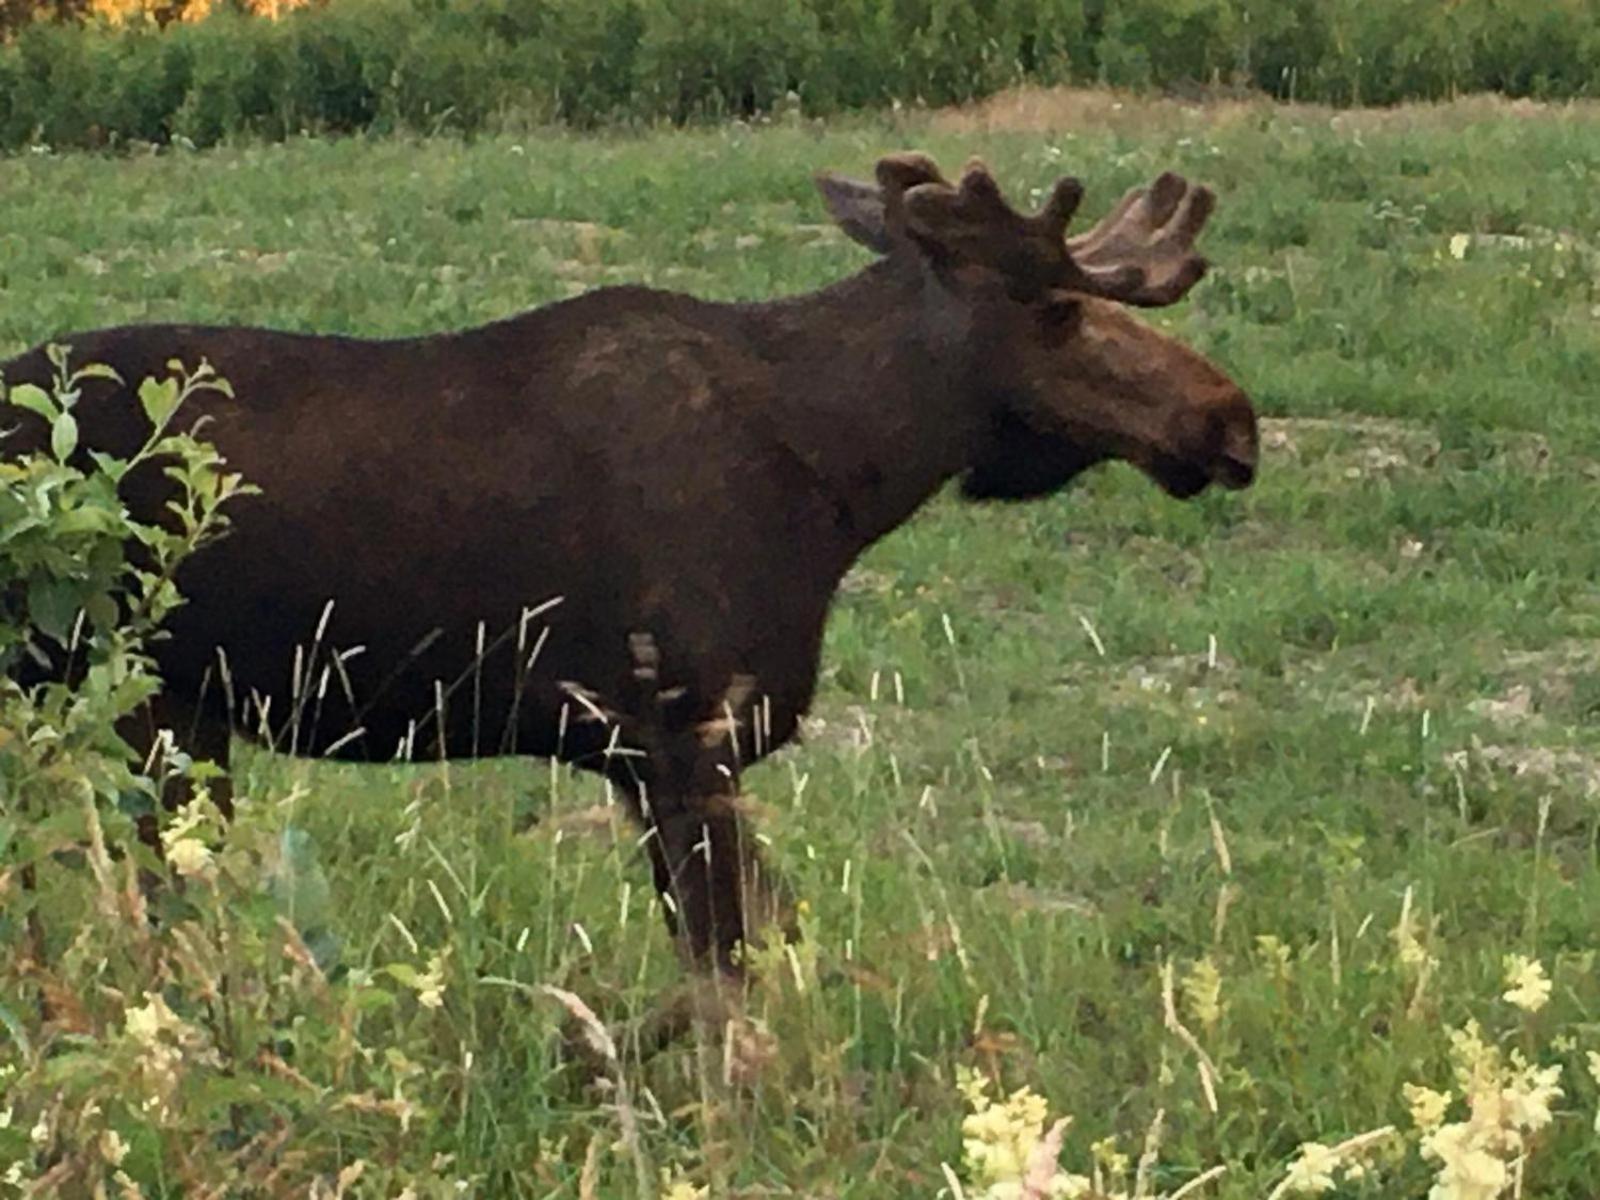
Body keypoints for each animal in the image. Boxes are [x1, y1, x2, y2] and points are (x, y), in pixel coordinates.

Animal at [3, 150, 1260, 979]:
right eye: (1056, 309)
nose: (1228, 419)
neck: (843, 482)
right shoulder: (673, 732)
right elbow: (730, 974)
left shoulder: (649, 755)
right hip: (134, 696)